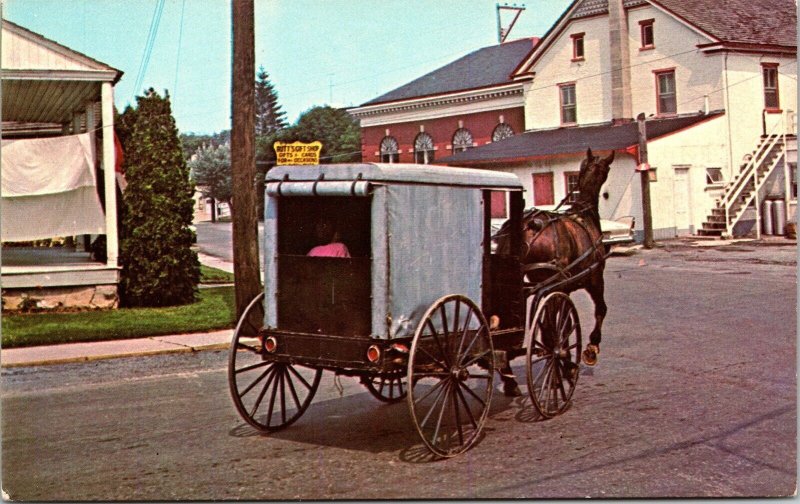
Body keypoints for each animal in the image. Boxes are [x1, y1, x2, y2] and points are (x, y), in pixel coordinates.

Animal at [496, 148, 616, 396]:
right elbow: (598, 311)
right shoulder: (593, 279)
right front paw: (588, 350)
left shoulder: (561, 287)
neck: (584, 214)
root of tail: (527, 226)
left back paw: (509, 377)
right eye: (606, 167)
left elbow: (559, 323)